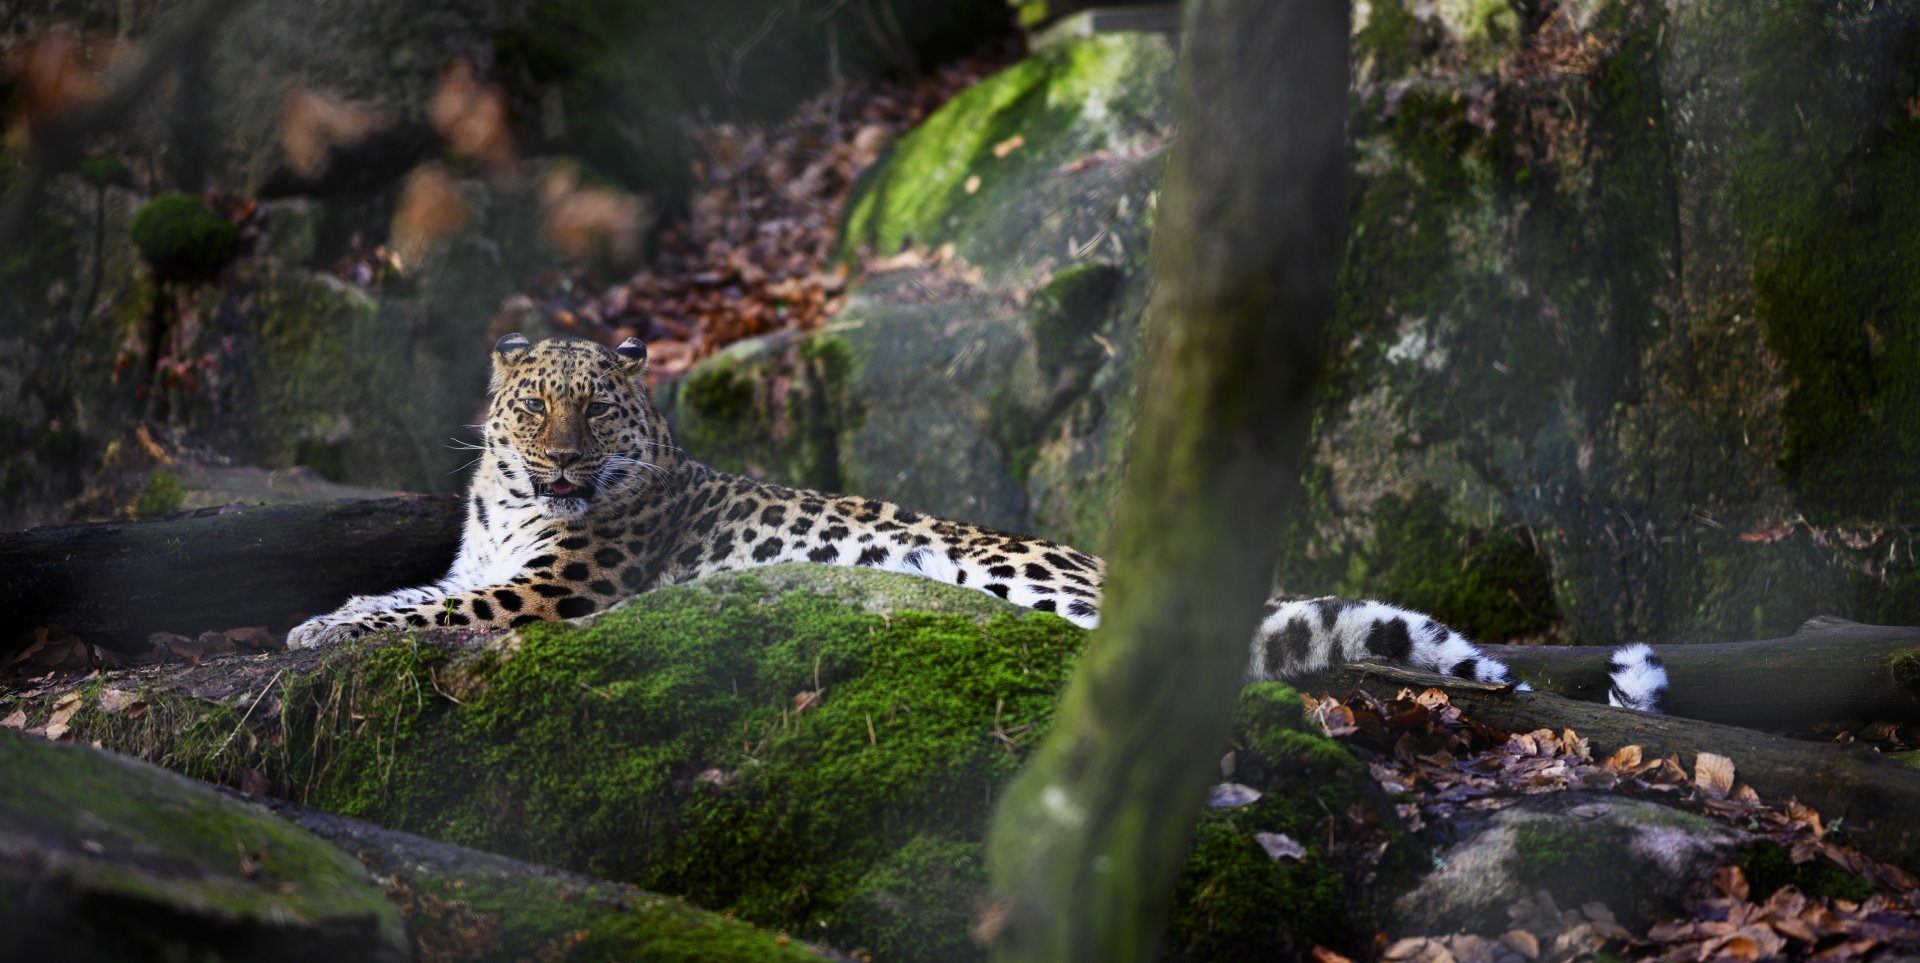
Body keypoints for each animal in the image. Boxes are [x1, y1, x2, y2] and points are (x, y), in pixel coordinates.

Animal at [288, 334, 1669, 712]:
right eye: (533, 408)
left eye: (598, 409)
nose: (565, 462)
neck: (507, 503)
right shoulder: (492, 561)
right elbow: (420, 589)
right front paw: (326, 618)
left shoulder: (546, 592)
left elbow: (430, 608)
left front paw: (324, 628)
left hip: (1023, 573)